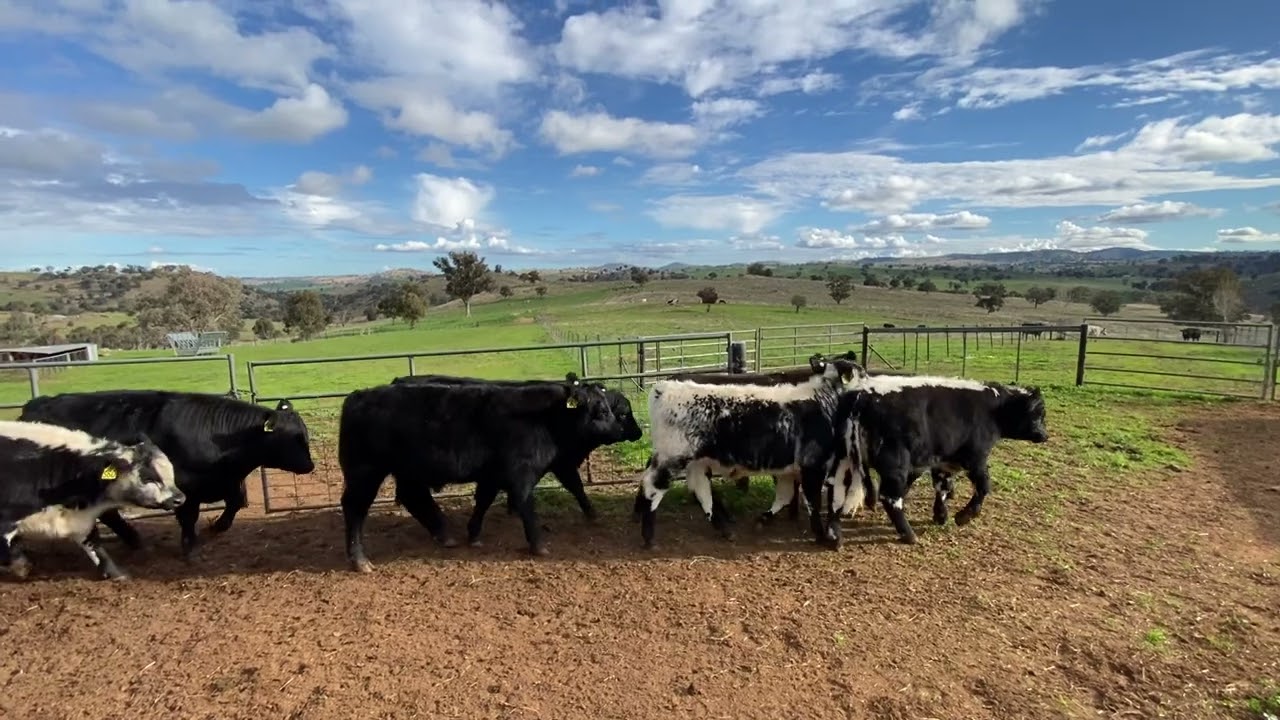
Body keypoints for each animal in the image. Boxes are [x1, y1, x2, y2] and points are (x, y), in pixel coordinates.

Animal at [1, 420, 184, 581]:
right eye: (148, 478)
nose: (180, 498)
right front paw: (22, 568)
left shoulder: (81, 518)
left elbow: (96, 546)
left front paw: (117, 574)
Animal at [18, 390, 315, 559]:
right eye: (292, 438)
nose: (310, 465)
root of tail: (35, 405)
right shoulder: (184, 486)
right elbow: (188, 515)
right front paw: (190, 546)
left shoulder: (227, 482)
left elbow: (235, 503)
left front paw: (217, 527)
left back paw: (132, 540)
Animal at [633, 360, 863, 550]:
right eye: (862, 374)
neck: (823, 401)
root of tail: (664, 387)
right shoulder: (813, 465)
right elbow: (813, 501)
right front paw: (823, 536)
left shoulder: (791, 469)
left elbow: (786, 495)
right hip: (672, 458)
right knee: (653, 487)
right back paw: (649, 537)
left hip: (695, 462)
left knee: (701, 491)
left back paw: (725, 529)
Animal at [840, 375, 1049, 544]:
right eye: (1038, 413)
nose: (1045, 436)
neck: (993, 409)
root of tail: (864, 395)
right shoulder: (975, 459)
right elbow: (983, 486)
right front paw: (964, 516)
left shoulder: (943, 462)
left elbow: (943, 487)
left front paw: (940, 515)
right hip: (895, 465)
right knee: (890, 498)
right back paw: (908, 534)